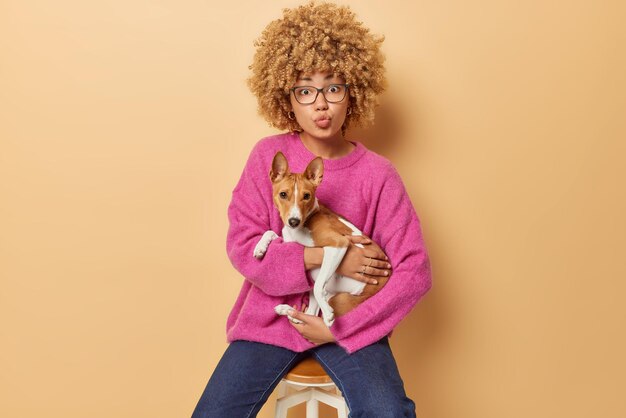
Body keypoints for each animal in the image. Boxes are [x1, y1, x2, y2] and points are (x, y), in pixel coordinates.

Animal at [251, 151, 388, 326]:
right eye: (283, 194)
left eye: (306, 196)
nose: (293, 221)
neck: (302, 225)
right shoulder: (289, 239)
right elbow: (269, 232)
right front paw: (260, 248)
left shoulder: (338, 244)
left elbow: (317, 288)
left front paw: (328, 314)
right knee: (310, 313)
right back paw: (287, 310)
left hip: (340, 300)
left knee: (316, 309)